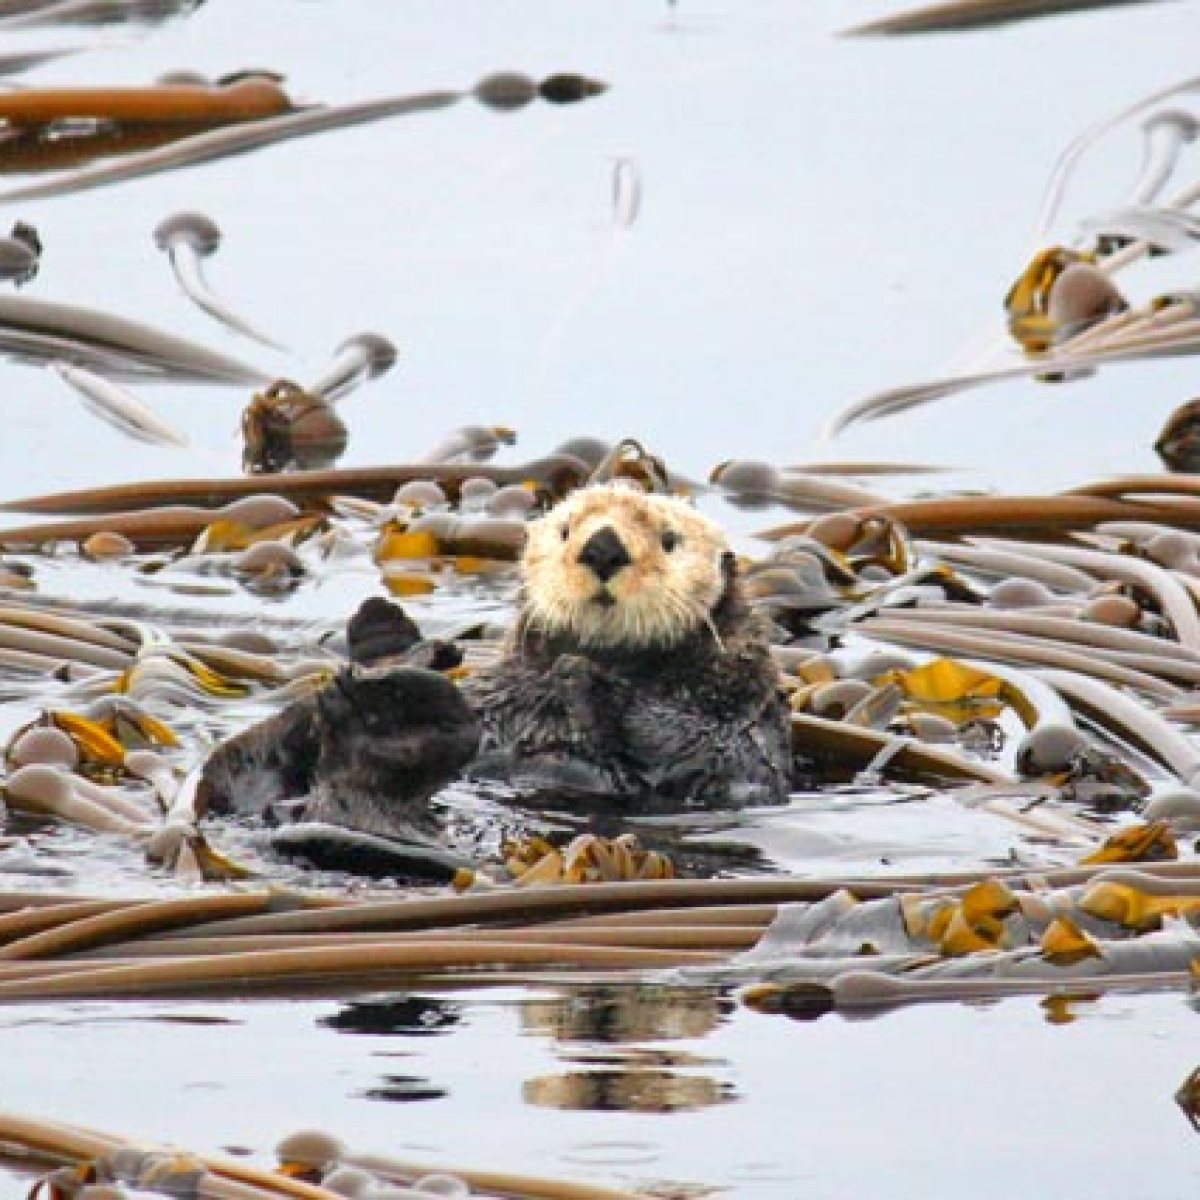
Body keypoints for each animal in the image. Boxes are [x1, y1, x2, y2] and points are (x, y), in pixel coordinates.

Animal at [198, 484, 792, 876]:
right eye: (566, 530)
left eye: (670, 540)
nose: (603, 547)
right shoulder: (499, 690)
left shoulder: (737, 728)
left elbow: (684, 748)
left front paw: (584, 677)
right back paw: (387, 664)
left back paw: (393, 716)